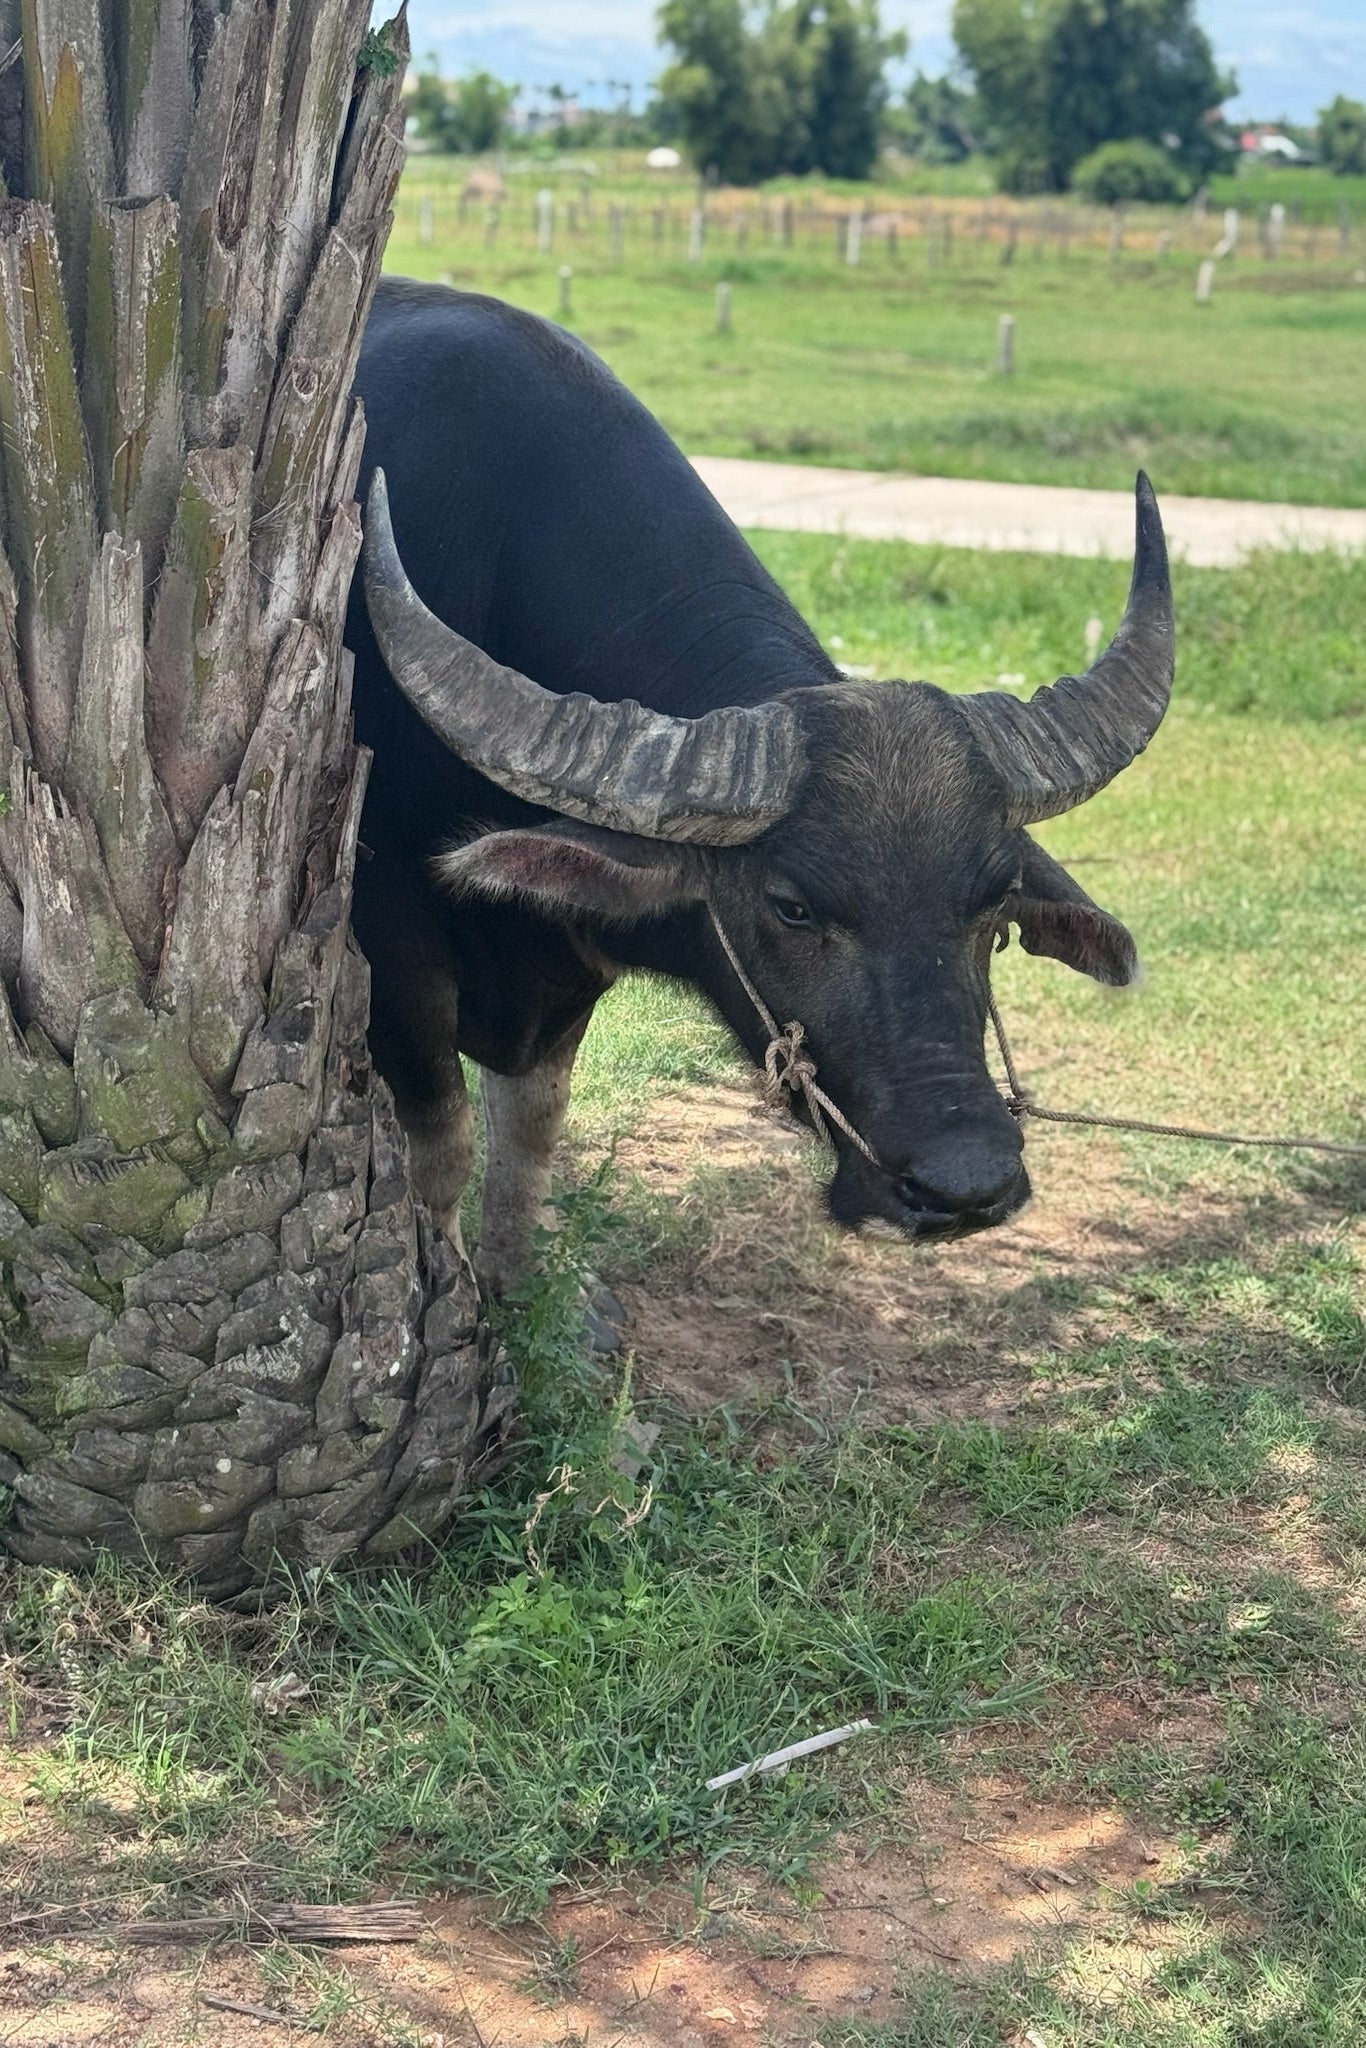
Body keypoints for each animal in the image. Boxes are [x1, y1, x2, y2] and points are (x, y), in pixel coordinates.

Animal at [347, 277, 1174, 1295]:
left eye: (993, 902)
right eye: (791, 905)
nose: (967, 1183)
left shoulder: (564, 974)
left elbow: (527, 1144)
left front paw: (508, 1287)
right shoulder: (396, 947)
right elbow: (443, 1146)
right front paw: (447, 1289)